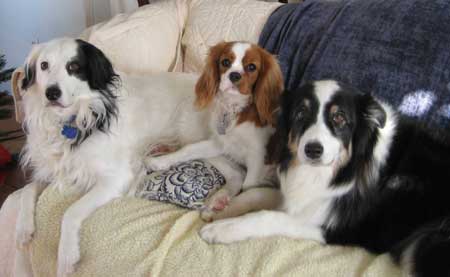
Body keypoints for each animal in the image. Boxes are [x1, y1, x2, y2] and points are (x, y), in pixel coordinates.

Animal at [202, 79, 450, 276]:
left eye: (339, 118)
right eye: (300, 113)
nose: (313, 150)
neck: (339, 170)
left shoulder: (338, 228)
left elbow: (267, 217)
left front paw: (220, 229)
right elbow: (258, 193)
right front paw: (220, 205)